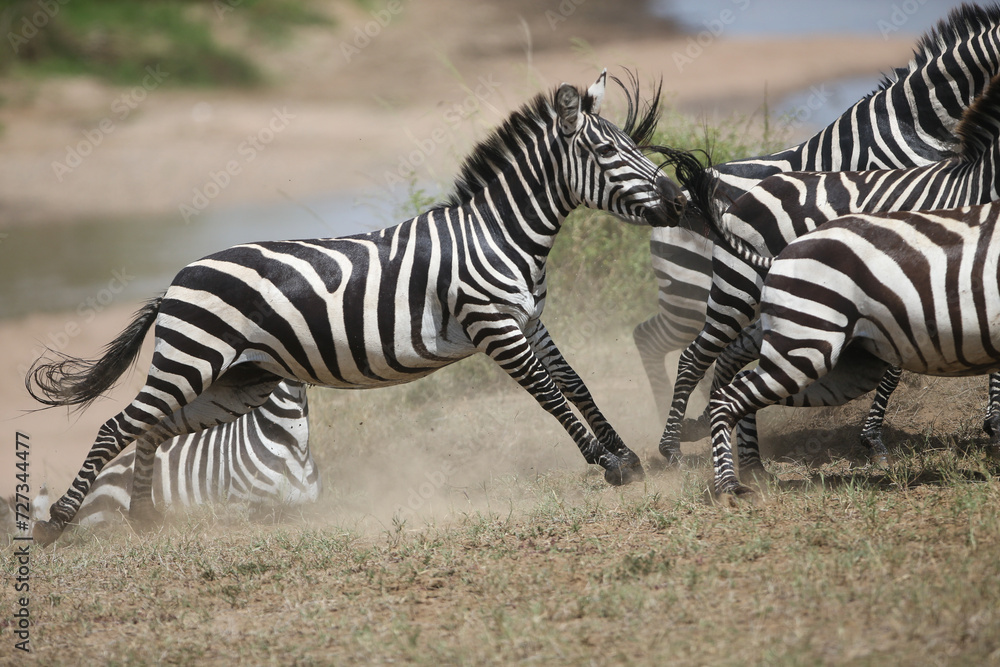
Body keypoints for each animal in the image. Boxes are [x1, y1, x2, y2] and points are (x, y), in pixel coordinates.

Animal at [634, 3, 1000, 430]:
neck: (915, 122)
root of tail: (677, 200)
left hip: (691, 296)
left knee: (660, 339)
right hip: (695, 294)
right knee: (673, 346)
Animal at [703, 200, 1000, 497]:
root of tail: (779, 257)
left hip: (844, 366)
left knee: (740, 385)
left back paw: (753, 470)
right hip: (809, 348)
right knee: (723, 400)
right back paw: (728, 486)